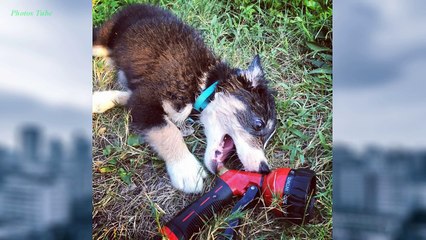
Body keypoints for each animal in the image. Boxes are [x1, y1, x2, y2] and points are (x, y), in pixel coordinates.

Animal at [93, 4, 276, 193]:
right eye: (258, 125)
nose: (264, 169)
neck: (203, 83)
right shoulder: (146, 100)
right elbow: (168, 130)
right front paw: (186, 169)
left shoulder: (142, 93)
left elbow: (129, 96)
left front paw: (100, 100)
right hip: (103, 37)